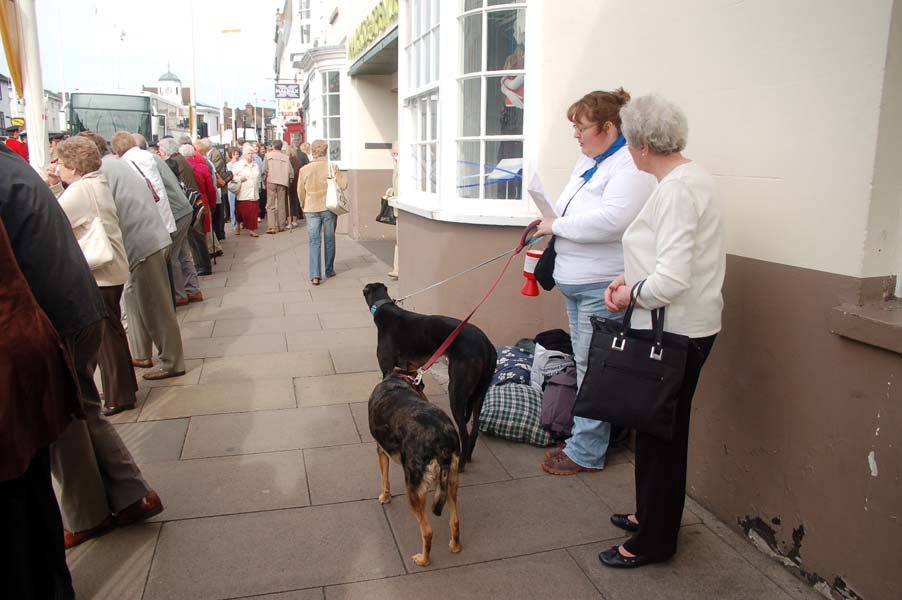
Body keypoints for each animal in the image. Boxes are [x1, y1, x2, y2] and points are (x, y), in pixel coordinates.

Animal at [364, 282, 498, 468]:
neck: (385, 309)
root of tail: (486, 345)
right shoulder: (413, 370)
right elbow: (420, 388)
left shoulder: (388, 369)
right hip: (480, 393)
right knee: (475, 429)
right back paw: (469, 456)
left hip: (457, 390)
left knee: (464, 432)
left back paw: (461, 464)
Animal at [370, 368, 462, 568]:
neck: (398, 379)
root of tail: (442, 443)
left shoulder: (381, 450)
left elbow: (384, 479)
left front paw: (385, 497)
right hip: (451, 482)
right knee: (455, 520)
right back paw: (455, 546)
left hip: (413, 488)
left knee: (427, 531)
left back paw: (423, 560)